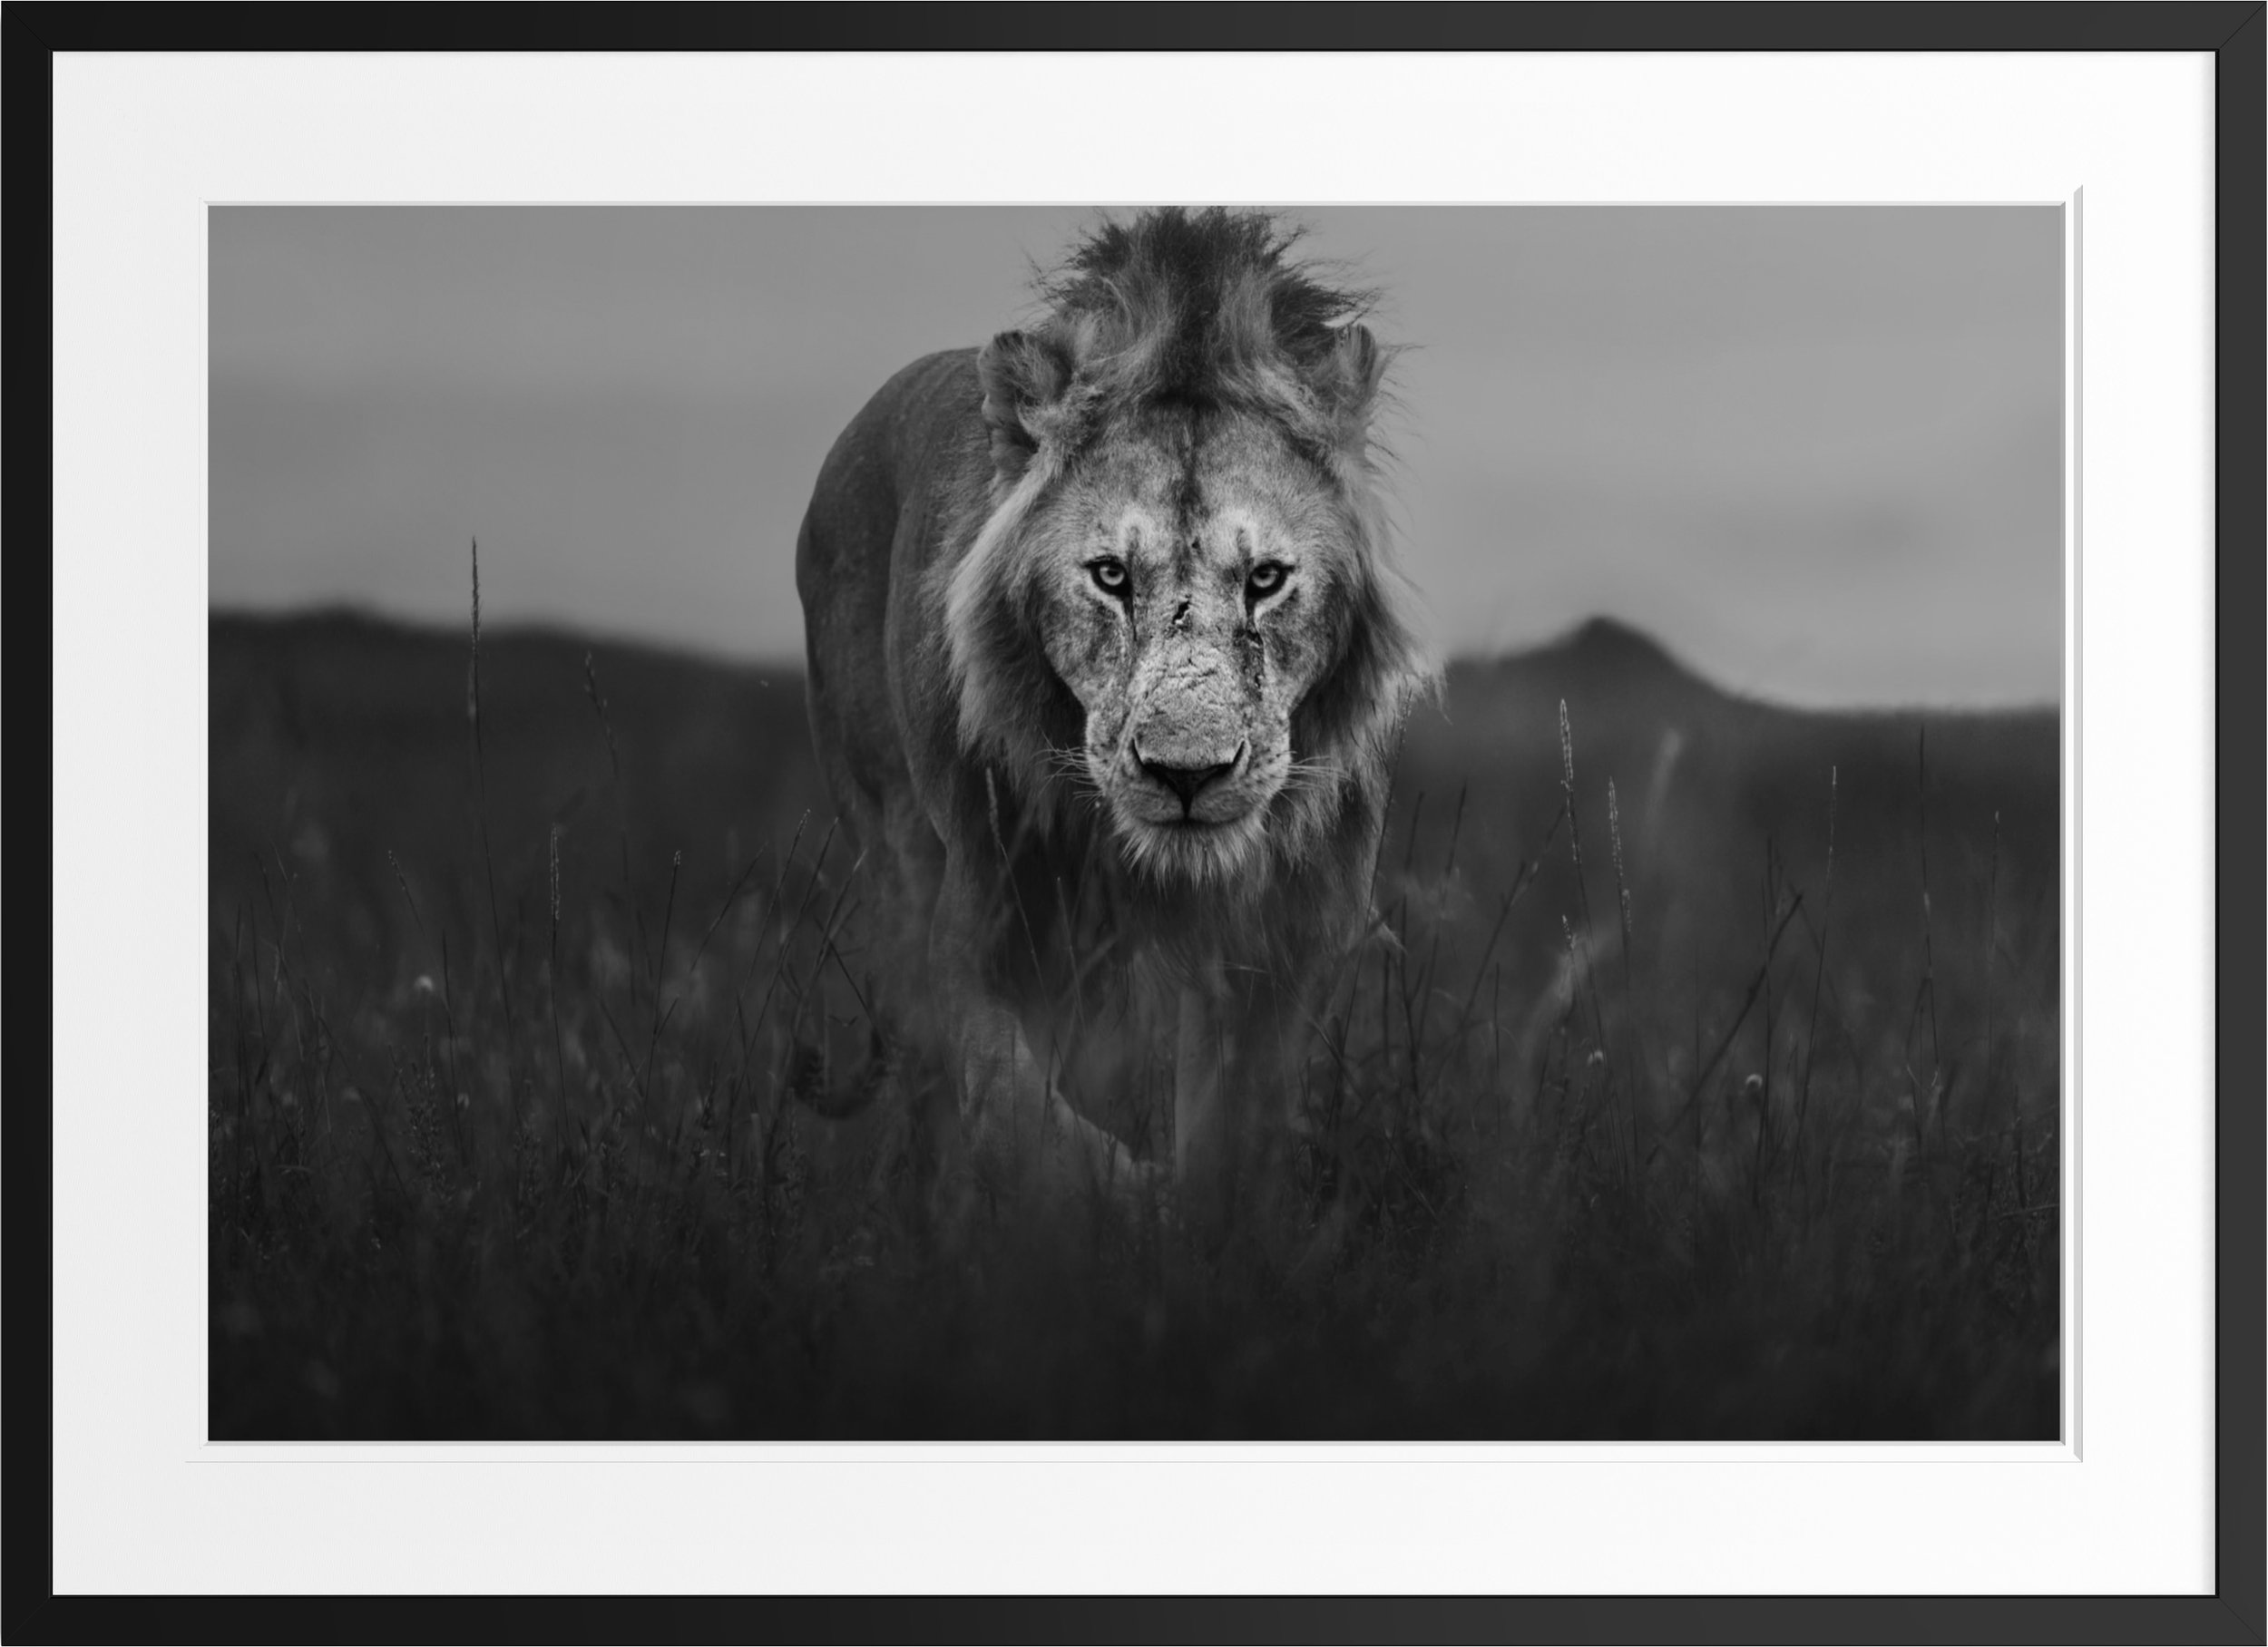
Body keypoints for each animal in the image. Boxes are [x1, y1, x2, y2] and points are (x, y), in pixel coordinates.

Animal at [794, 207, 1435, 1231]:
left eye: (1266, 579)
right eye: (1109, 576)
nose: (1187, 774)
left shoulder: (1283, 948)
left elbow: (1232, 1138)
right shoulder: (984, 926)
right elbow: (1022, 1118)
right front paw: (1132, 1204)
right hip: (891, 843)